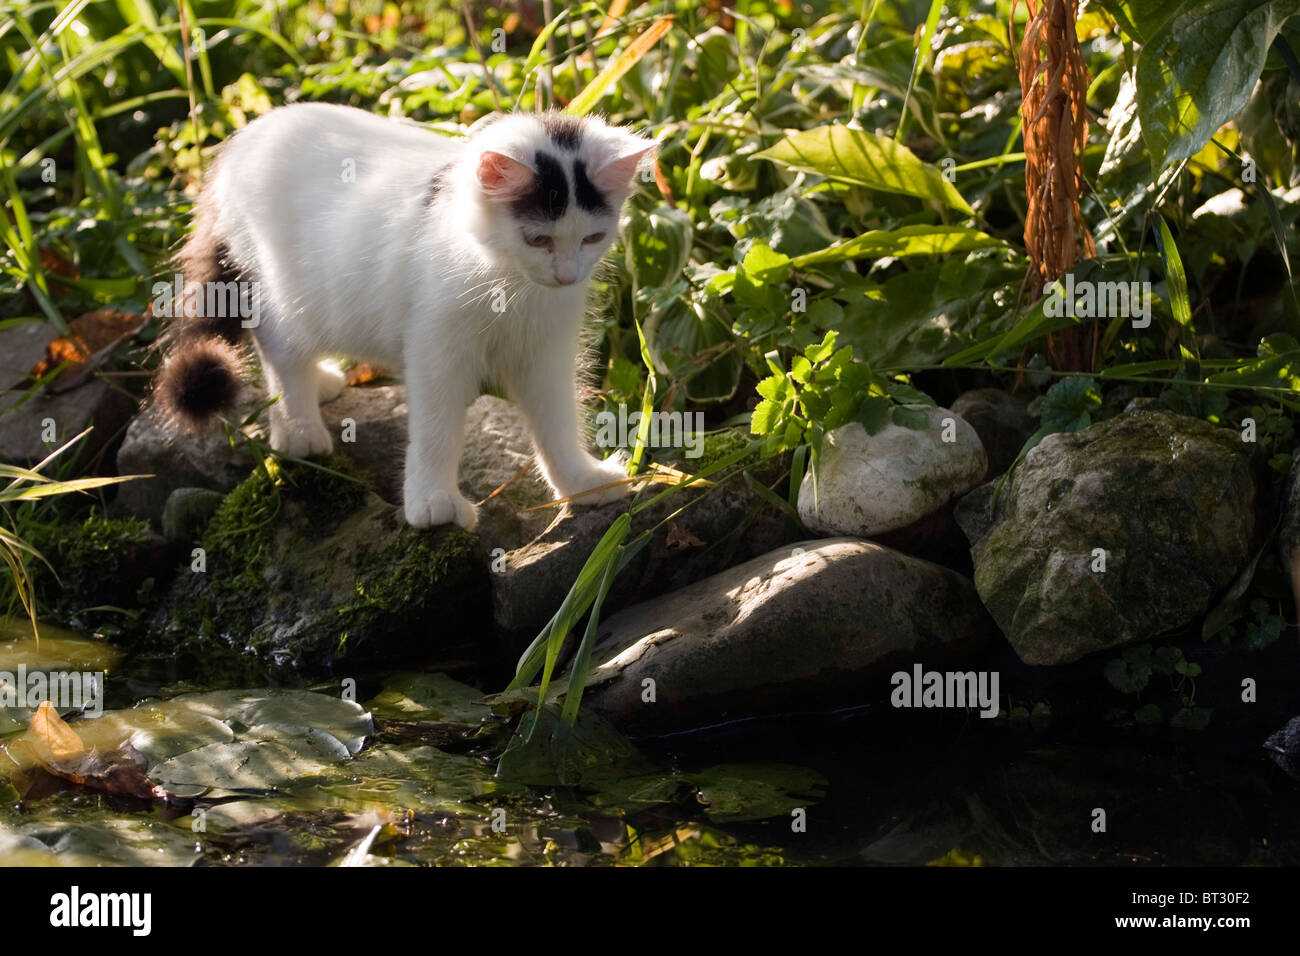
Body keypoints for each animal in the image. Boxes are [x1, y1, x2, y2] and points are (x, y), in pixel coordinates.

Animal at [156, 104, 655, 530]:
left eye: (592, 238)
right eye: (538, 240)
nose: (567, 275)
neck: (508, 282)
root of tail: (239, 143)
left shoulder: (546, 351)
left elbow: (557, 422)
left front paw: (581, 483)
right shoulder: (436, 348)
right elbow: (436, 430)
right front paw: (434, 502)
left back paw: (323, 381)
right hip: (286, 287)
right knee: (277, 344)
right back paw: (298, 428)